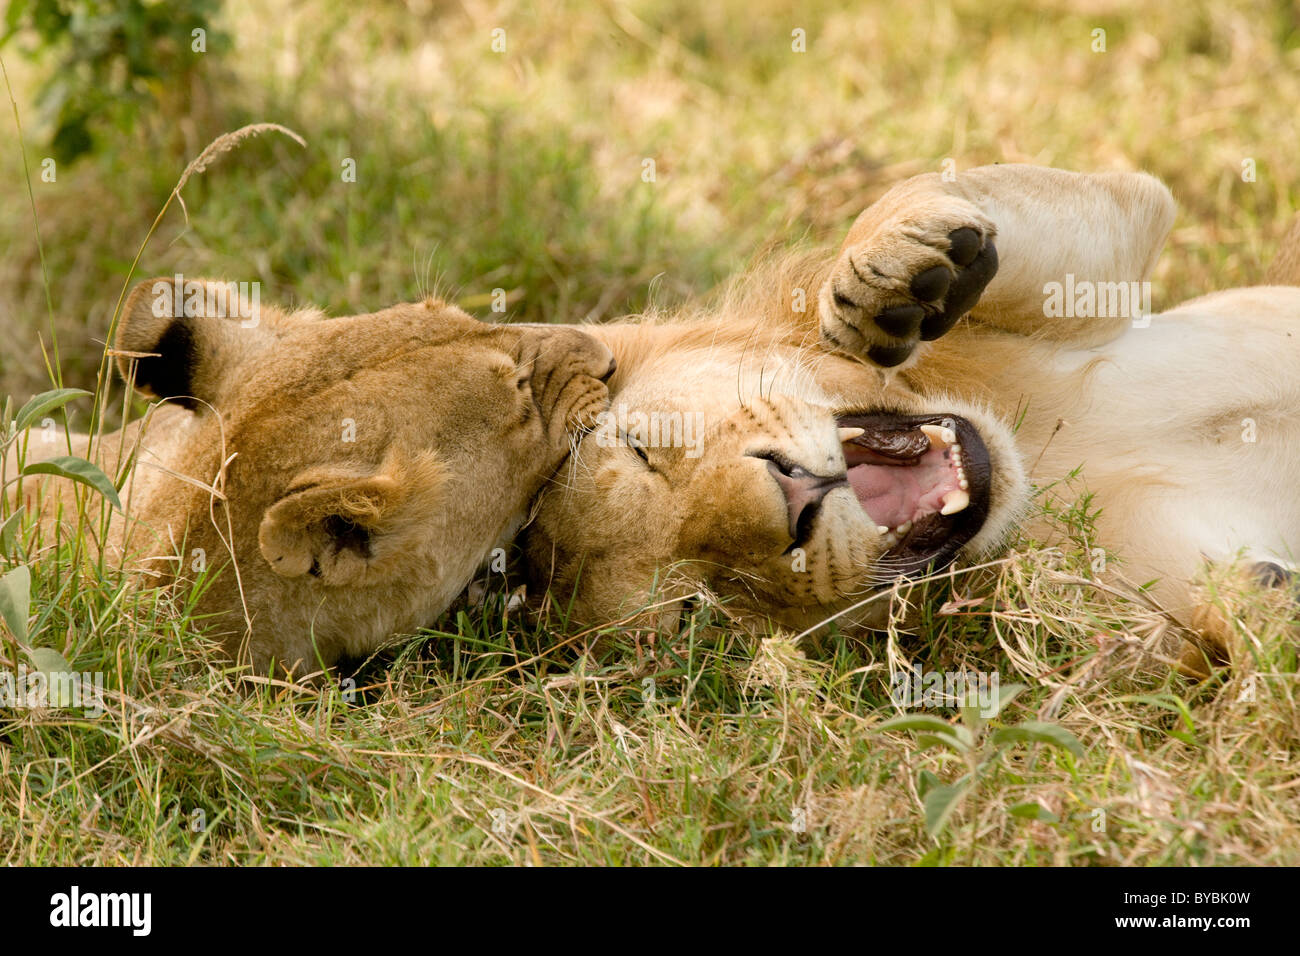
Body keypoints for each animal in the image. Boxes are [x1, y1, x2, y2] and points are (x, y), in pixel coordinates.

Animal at [525, 164, 1300, 671]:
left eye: (646, 448)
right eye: (706, 606)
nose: (794, 500)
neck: (1039, 458)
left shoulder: (1104, 258)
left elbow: (947, 188)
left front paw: (889, 274)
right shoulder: (1166, 609)